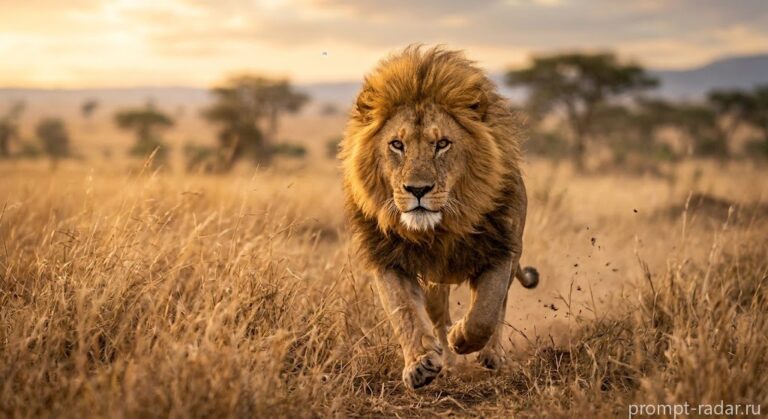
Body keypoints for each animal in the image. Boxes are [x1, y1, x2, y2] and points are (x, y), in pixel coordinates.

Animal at [339, 45, 539, 390]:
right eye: (397, 144)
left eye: (442, 144)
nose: (417, 189)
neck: (440, 229)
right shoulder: (387, 257)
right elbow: (403, 310)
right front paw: (420, 364)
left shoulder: (502, 248)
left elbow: (486, 311)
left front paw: (463, 337)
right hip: (435, 281)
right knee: (435, 314)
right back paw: (446, 359)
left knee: (497, 307)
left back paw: (489, 355)